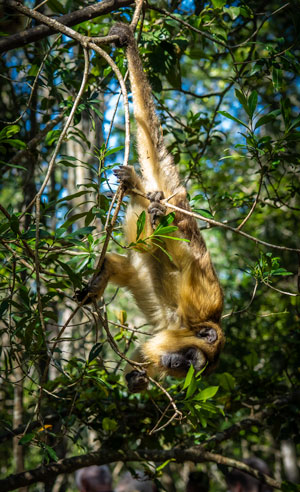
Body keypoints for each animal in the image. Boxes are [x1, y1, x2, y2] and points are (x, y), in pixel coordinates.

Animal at [76, 23, 224, 392]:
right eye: (189, 358)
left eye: (189, 369)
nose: (177, 364)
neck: (191, 325)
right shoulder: (202, 299)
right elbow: (172, 252)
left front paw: (140, 376)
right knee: (150, 237)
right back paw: (144, 194)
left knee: (127, 266)